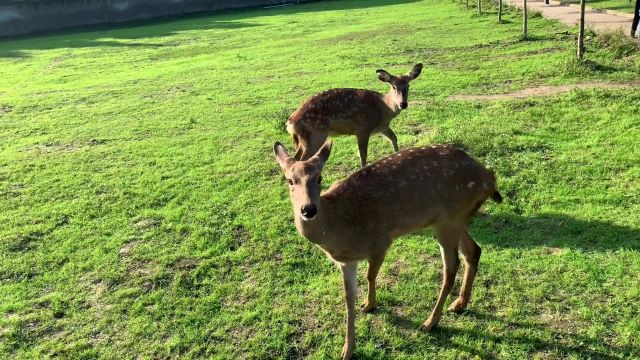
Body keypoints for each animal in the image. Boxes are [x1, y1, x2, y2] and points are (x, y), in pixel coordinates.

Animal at [272, 139, 502, 358]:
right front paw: (347, 349)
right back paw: (459, 304)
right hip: (454, 220)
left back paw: (430, 322)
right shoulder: (346, 261)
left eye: (319, 178)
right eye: (289, 180)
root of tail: (489, 178)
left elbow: (370, 275)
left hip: (449, 220)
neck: (340, 227)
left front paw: (370, 305)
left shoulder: (381, 241)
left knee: (451, 268)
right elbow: (348, 298)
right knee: (474, 251)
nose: (308, 209)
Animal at [288, 63, 422, 167]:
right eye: (394, 86)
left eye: (408, 85)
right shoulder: (363, 129)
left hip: (304, 138)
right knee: (302, 159)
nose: (403, 104)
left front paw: (398, 155)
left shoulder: (382, 127)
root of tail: (290, 123)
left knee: (294, 157)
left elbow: (394, 138)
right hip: (316, 134)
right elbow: (363, 154)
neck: (383, 109)